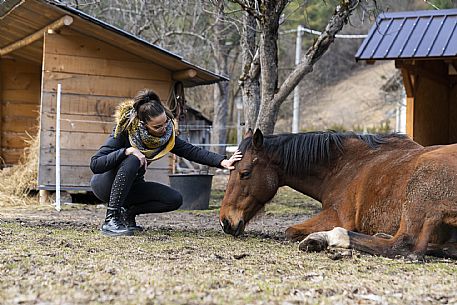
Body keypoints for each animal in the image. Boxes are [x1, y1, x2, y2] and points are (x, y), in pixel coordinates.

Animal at [218, 128, 456, 258]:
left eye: (245, 173)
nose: (225, 221)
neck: (346, 165)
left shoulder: (336, 215)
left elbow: (290, 231)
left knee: (404, 247)